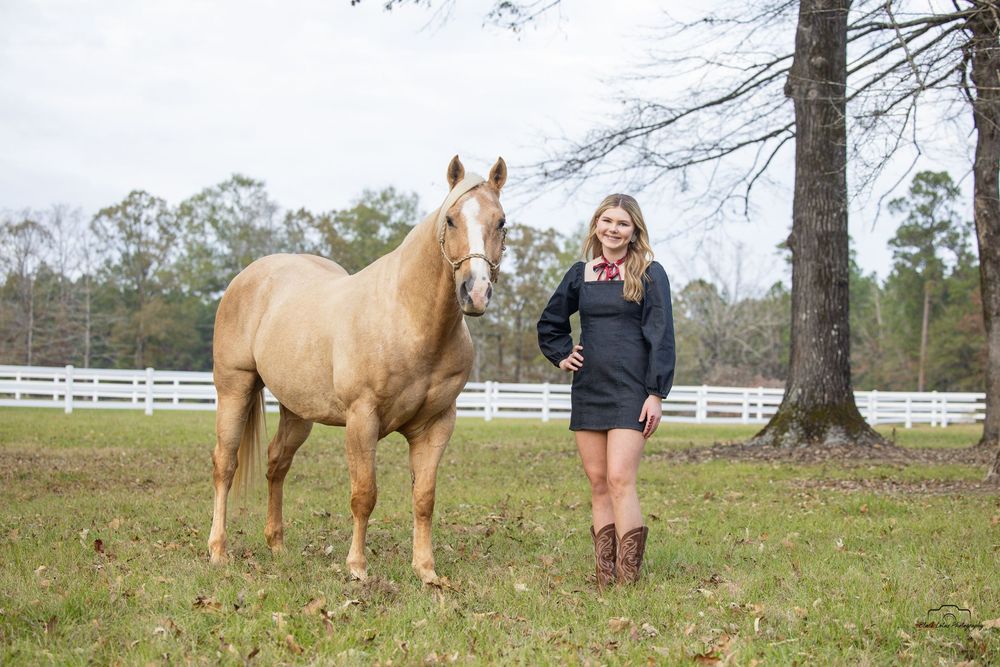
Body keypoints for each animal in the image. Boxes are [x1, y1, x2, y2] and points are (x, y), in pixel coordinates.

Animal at [207, 156, 507, 584]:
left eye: (501, 222)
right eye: (450, 219)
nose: (475, 292)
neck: (408, 318)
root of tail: (246, 278)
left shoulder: (436, 425)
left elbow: (424, 498)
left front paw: (426, 570)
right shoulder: (362, 419)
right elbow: (364, 495)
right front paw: (357, 568)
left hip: (297, 411)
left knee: (277, 464)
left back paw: (277, 545)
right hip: (235, 388)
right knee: (225, 464)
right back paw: (218, 550)